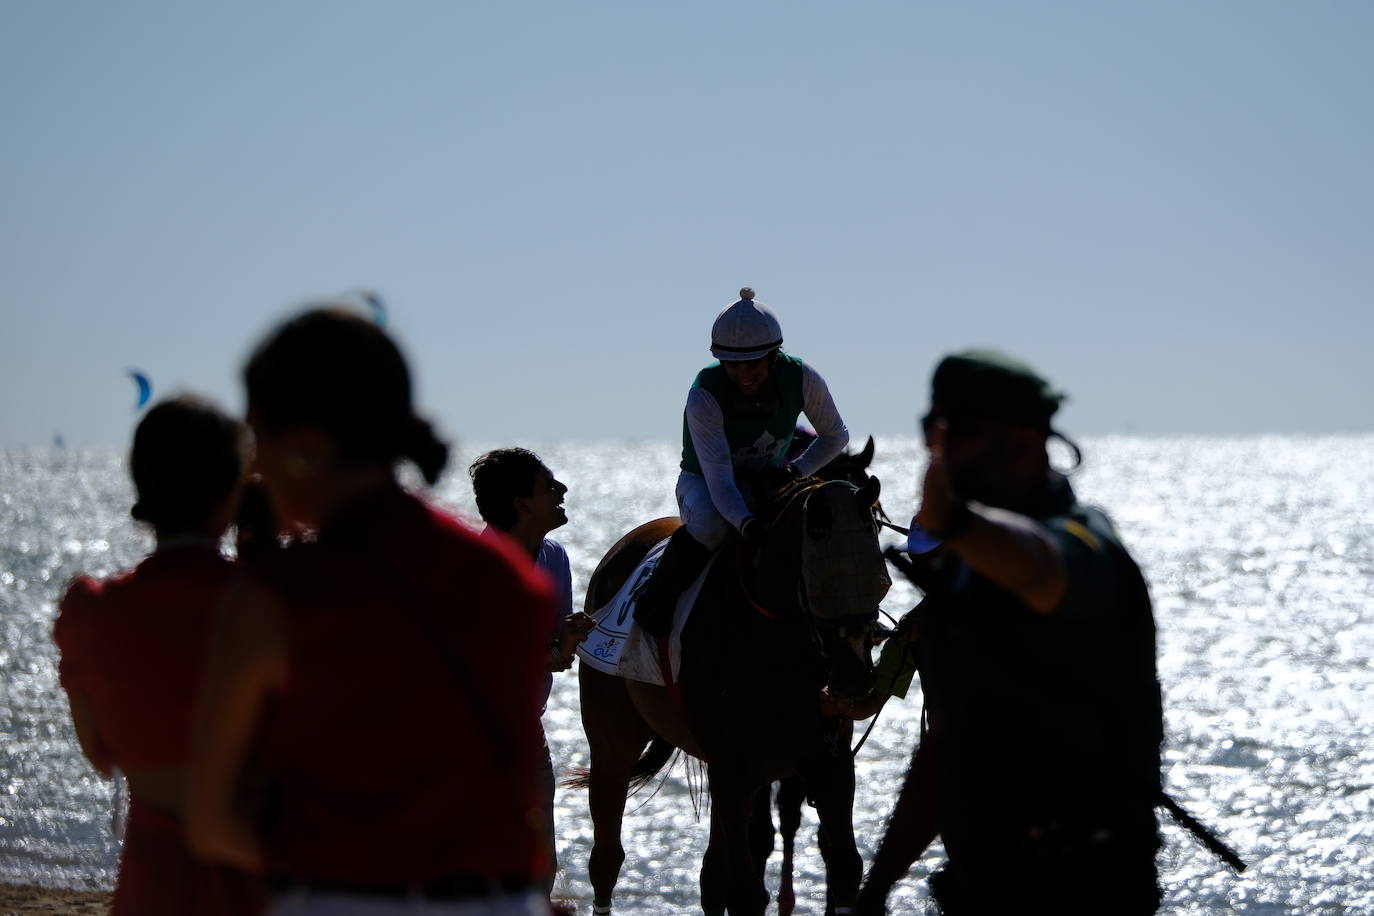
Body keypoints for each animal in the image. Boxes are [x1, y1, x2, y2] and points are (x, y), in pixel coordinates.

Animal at [571, 472, 884, 916]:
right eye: (820, 578)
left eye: (880, 576)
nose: (853, 676)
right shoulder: (734, 769)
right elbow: (745, 891)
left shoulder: (827, 760)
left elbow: (844, 867)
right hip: (613, 734)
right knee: (606, 856)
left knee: (711, 874)